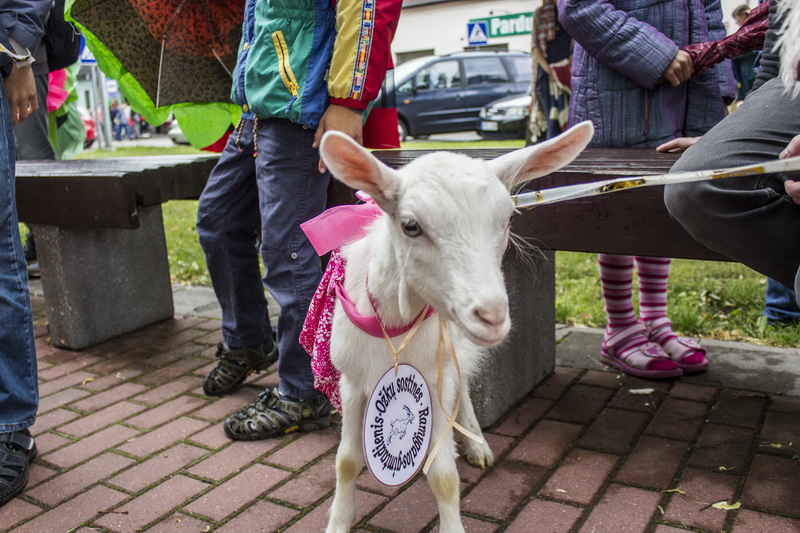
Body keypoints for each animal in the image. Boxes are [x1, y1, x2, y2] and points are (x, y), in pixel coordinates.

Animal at [317, 121, 593, 533]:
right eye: (411, 225)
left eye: (508, 218)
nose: (493, 315)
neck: (395, 329)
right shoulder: (351, 380)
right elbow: (347, 461)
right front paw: (337, 522)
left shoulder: (435, 379)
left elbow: (444, 476)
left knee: (463, 388)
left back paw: (477, 443)